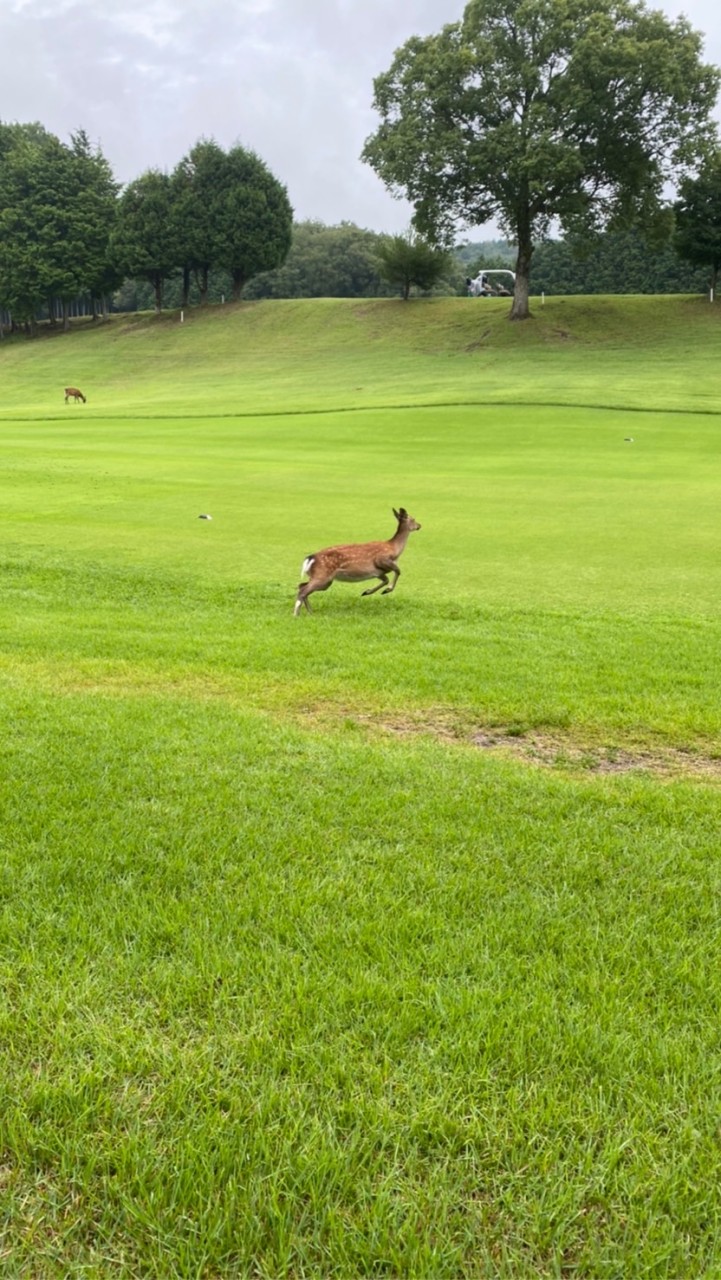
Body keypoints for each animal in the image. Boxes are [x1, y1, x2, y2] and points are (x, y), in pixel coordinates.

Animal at [294, 504, 422, 614]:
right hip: (322, 575)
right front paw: (387, 590)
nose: (420, 525)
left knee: (301, 586)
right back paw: (296, 614)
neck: (394, 549)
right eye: (413, 519)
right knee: (303, 590)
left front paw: (367, 592)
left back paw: (310, 612)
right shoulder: (381, 559)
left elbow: (385, 580)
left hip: (322, 579)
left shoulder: (377, 572)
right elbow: (398, 571)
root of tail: (310, 558)